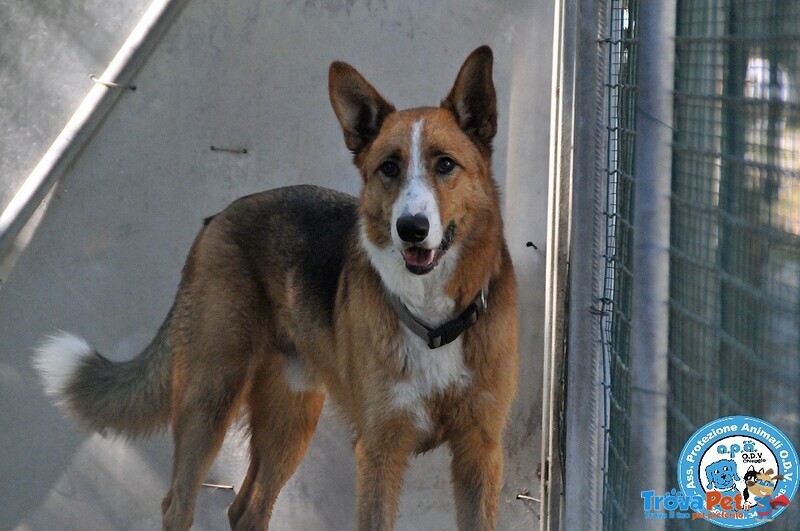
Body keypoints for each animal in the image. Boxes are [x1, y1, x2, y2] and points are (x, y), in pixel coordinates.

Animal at [32, 46, 520, 531]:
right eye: (389, 168)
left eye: (445, 165)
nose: (411, 229)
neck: (432, 321)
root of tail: (217, 218)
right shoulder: (379, 451)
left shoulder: (479, 450)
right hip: (210, 397)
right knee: (179, 503)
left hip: (291, 416)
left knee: (246, 509)